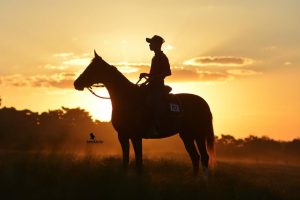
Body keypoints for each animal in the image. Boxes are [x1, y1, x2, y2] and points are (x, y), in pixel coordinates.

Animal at [74, 50, 214, 175]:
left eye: (92, 68)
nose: (76, 83)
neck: (127, 98)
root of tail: (203, 103)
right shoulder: (122, 136)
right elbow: (125, 161)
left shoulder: (136, 136)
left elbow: (139, 162)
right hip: (187, 135)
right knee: (195, 157)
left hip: (199, 134)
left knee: (204, 157)